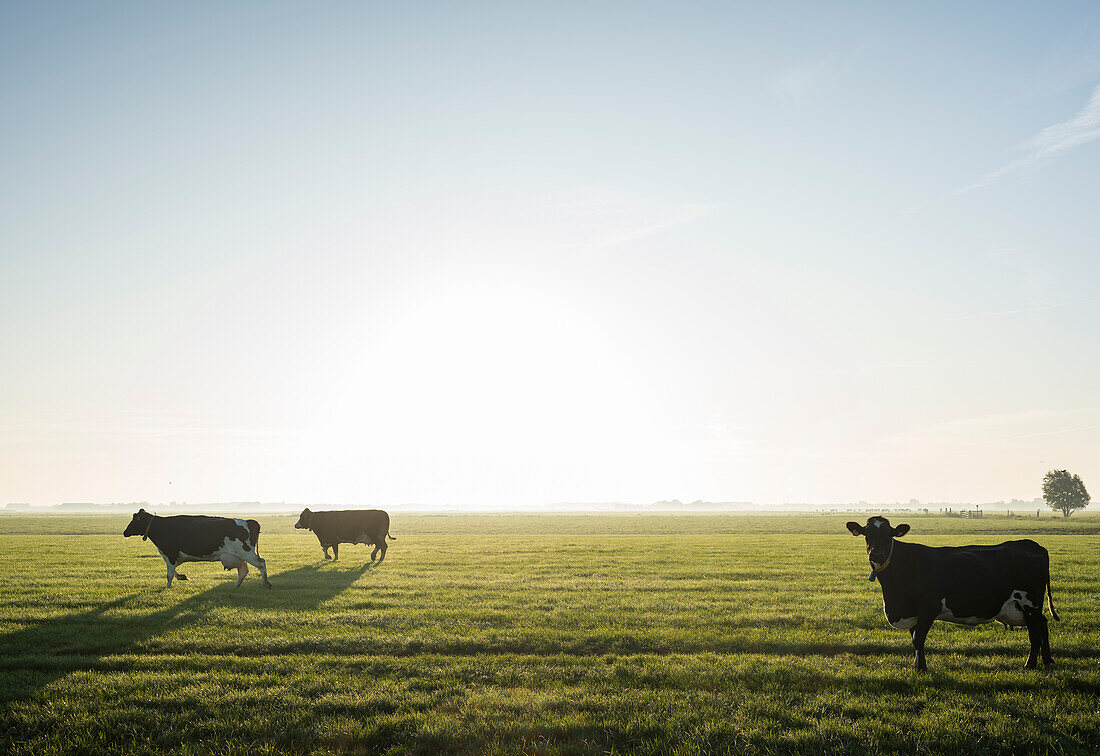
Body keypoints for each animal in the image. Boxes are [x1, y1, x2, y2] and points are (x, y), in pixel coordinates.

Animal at [122, 508, 270, 589]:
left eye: (135, 520)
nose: (124, 532)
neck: (161, 526)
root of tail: (250, 521)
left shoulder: (170, 554)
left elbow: (169, 575)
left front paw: (167, 588)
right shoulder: (175, 556)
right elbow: (174, 572)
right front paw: (183, 577)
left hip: (246, 553)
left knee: (261, 563)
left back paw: (265, 583)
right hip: (237, 556)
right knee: (243, 570)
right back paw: (236, 585)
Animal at [849, 517, 1056, 673]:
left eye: (888, 535)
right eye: (867, 534)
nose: (876, 554)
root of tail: (1032, 545)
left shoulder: (928, 607)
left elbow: (918, 639)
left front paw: (922, 668)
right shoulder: (913, 612)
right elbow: (914, 639)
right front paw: (917, 665)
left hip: (1030, 603)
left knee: (1035, 634)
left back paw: (1030, 665)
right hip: (1028, 607)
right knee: (1043, 623)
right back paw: (1047, 660)